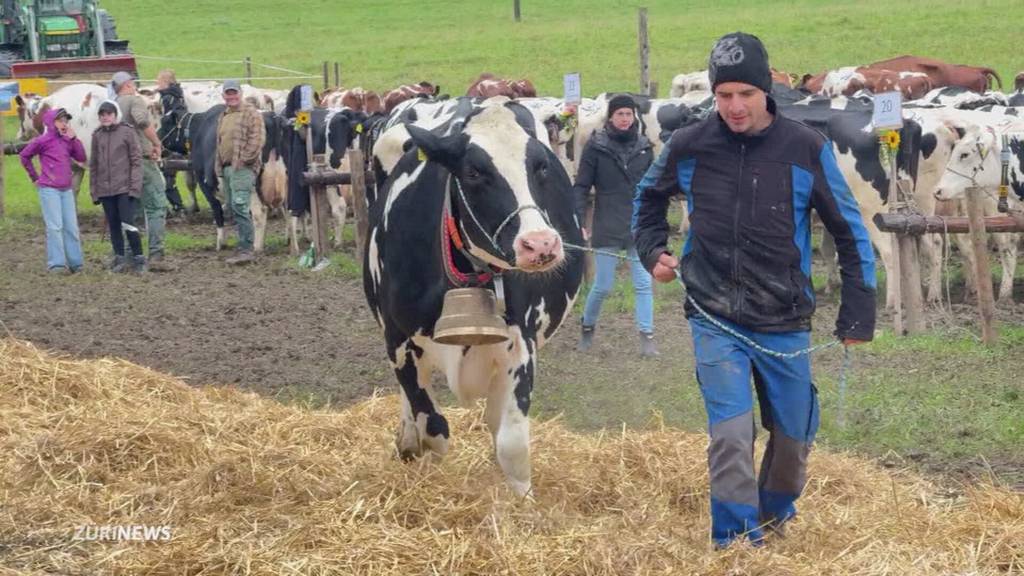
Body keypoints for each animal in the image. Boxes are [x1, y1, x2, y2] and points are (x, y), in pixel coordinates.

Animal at [364, 99, 581, 494]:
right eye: (474, 172)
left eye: (540, 166)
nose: (540, 244)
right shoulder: (398, 341)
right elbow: (434, 429)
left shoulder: (520, 342)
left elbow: (512, 442)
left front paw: (521, 500)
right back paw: (407, 441)